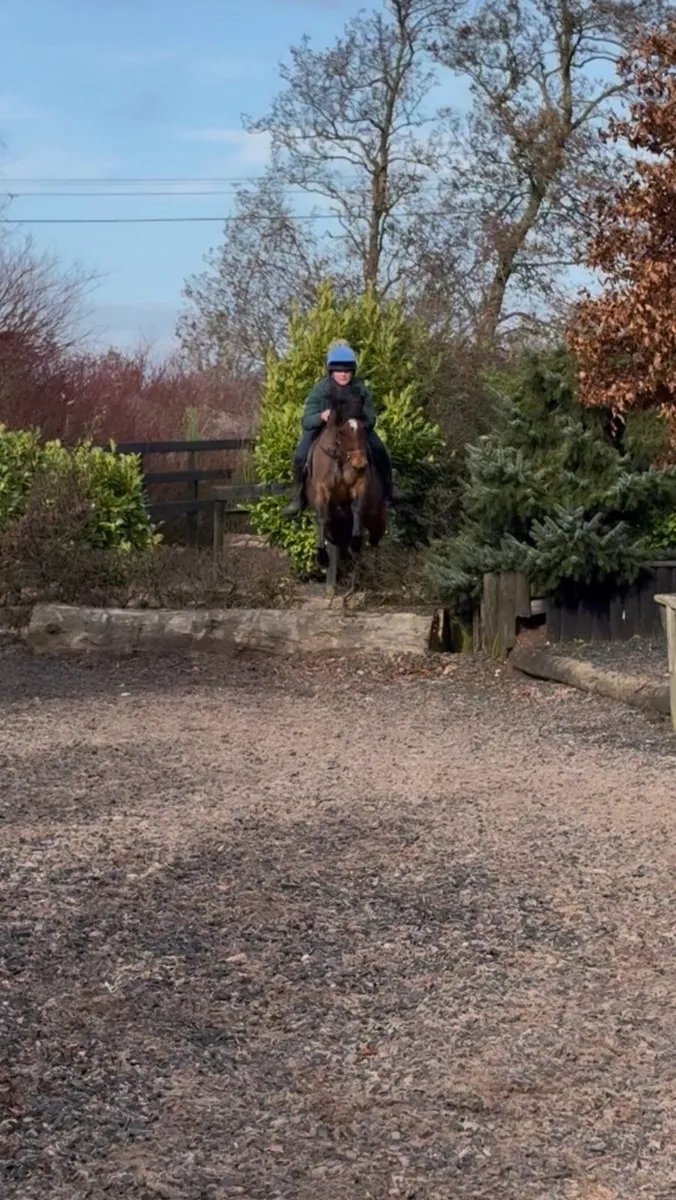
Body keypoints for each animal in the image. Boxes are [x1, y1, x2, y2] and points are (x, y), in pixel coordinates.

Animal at [305, 382, 387, 597]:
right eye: (342, 431)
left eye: (363, 427)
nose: (360, 464)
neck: (340, 457)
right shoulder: (322, 491)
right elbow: (322, 519)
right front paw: (322, 559)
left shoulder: (360, 486)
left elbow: (357, 509)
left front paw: (356, 543)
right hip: (336, 527)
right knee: (339, 543)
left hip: (376, 516)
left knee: (374, 541)